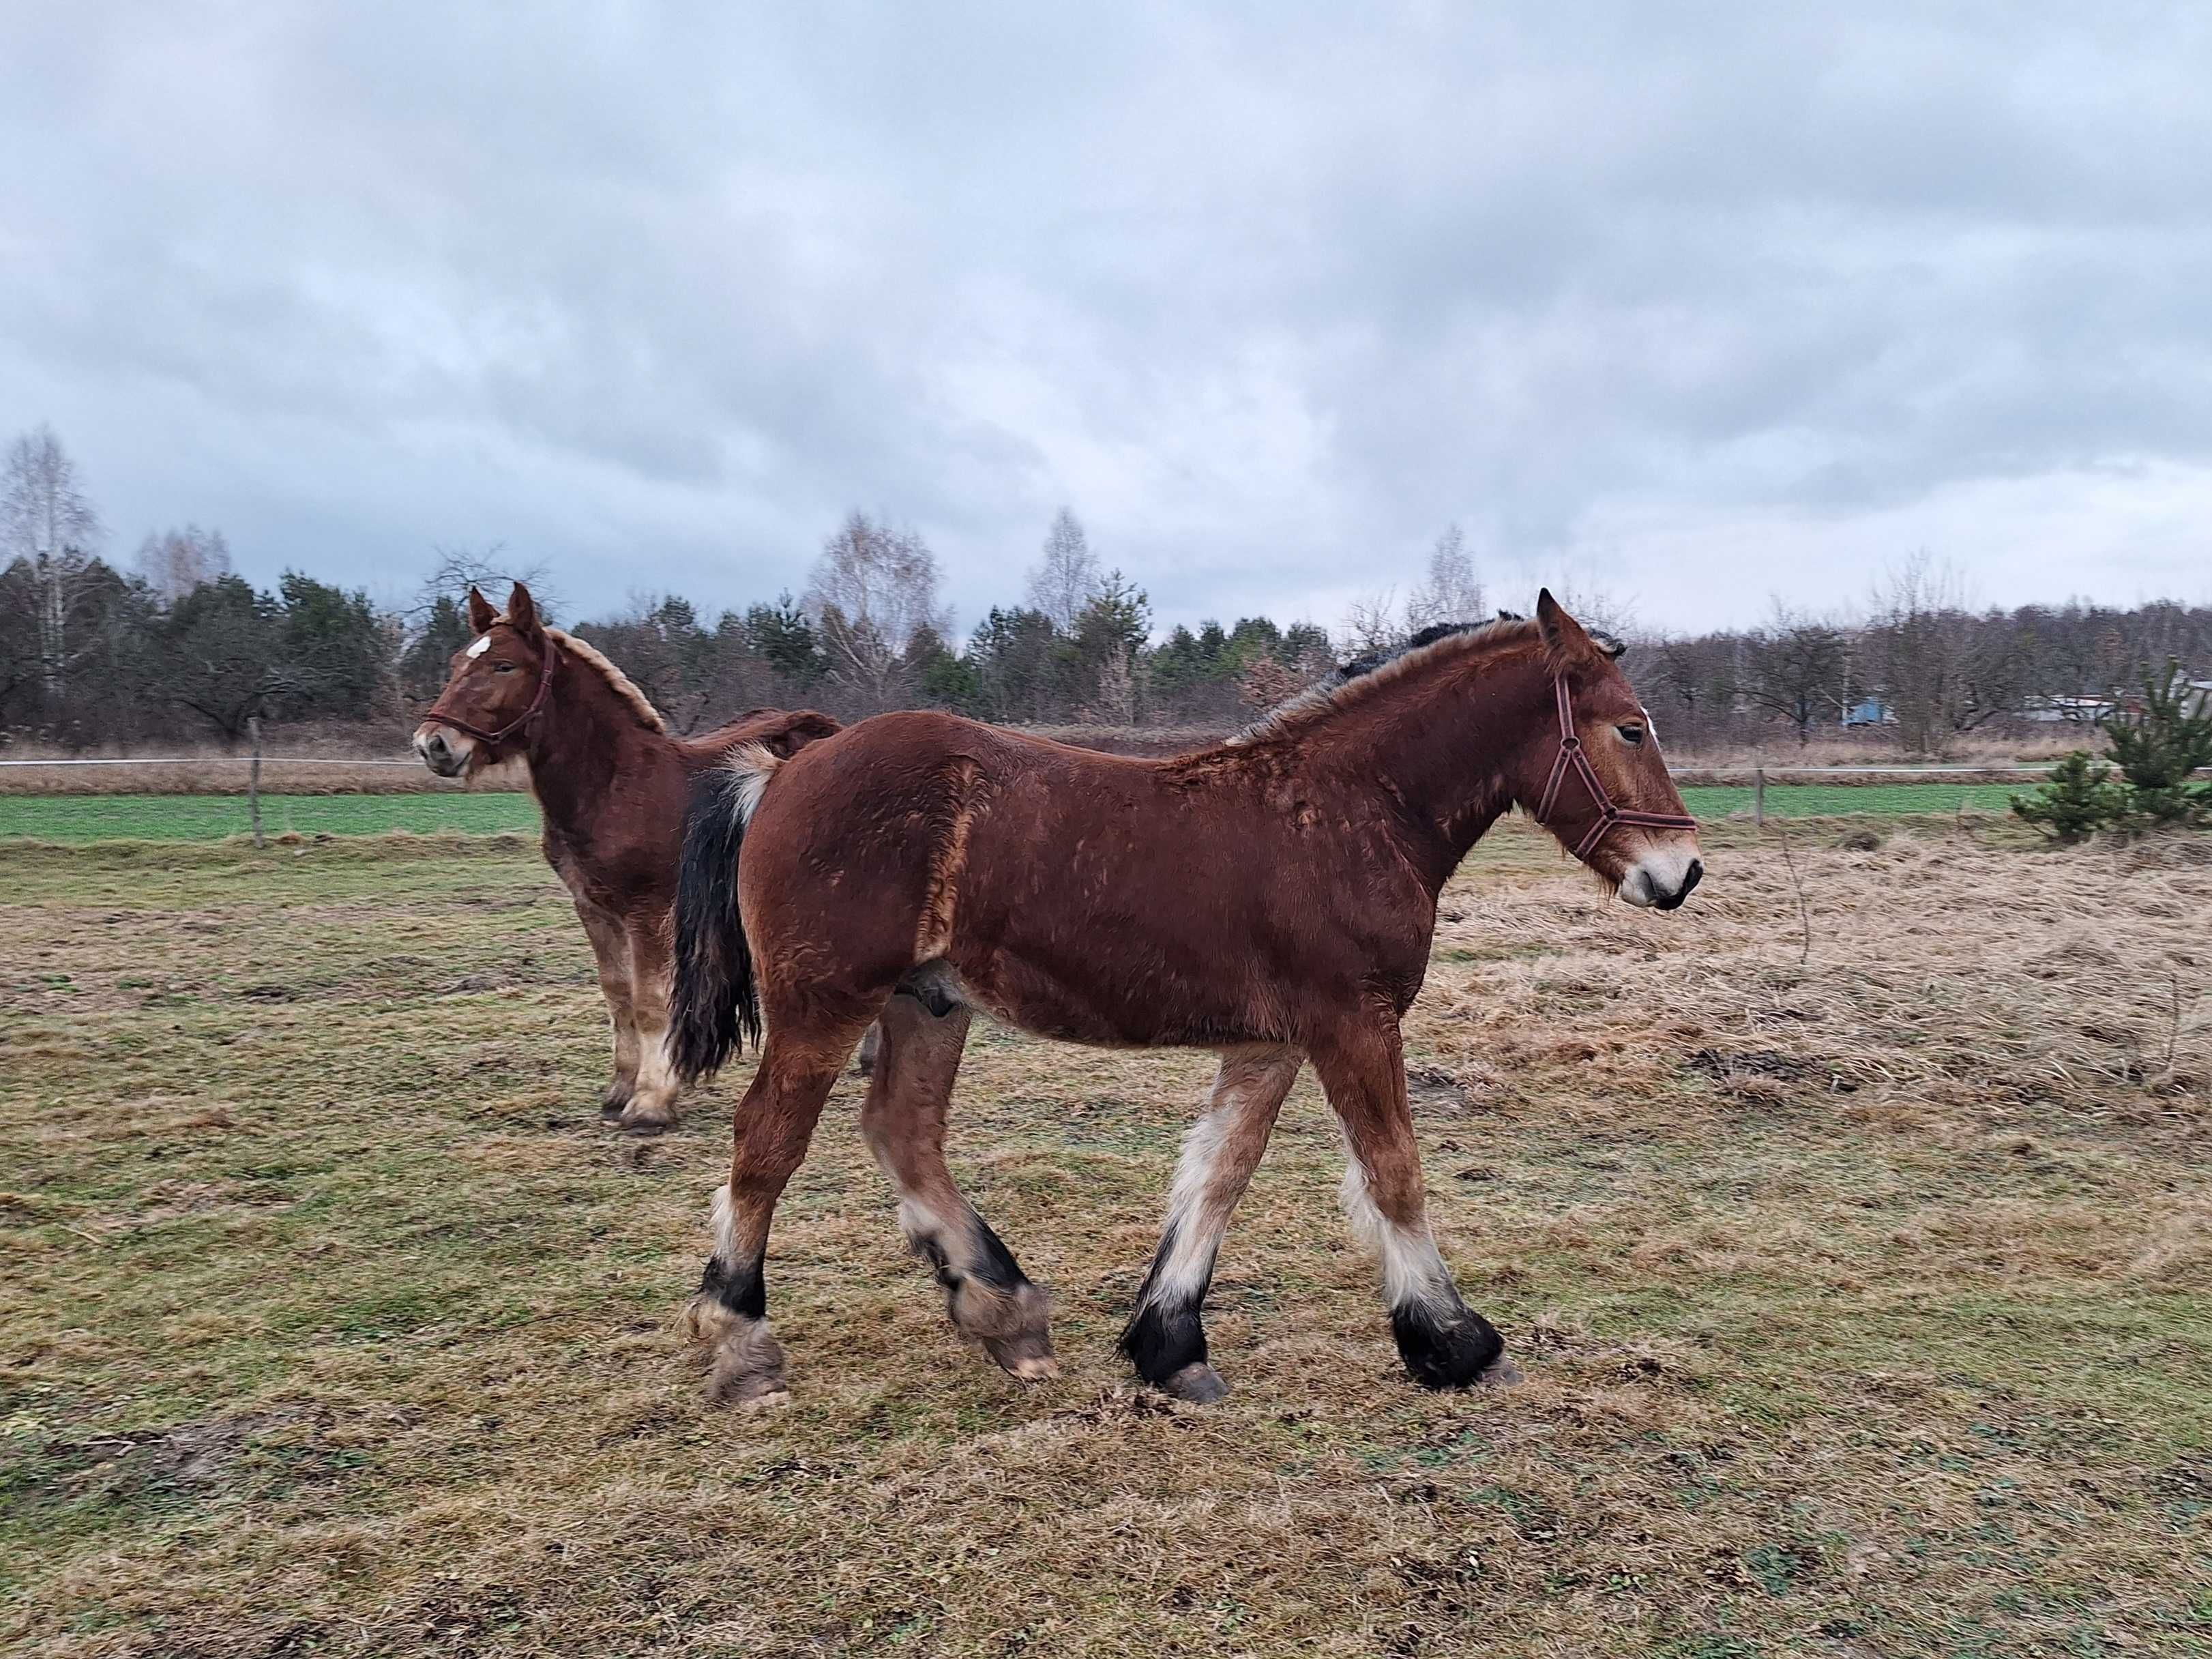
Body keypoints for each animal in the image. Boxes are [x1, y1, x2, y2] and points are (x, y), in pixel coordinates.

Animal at [409, 579, 836, 1141]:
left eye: (504, 666)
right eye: (458, 661)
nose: (433, 744)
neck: (617, 786)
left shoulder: (647, 913)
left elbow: (650, 1004)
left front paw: (651, 1102)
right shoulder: (593, 908)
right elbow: (617, 996)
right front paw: (619, 1091)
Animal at [663, 593, 1698, 1407]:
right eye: (1629, 727)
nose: (1680, 872)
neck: (1346, 810)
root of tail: (784, 767)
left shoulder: (1272, 1041)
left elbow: (1216, 1176)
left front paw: (1169, 1348)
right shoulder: (1353, 1023)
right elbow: (1392, 1172)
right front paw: (1457, 1343)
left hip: (927, 1004)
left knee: (902, 1131)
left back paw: (1006, 1312)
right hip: (825, 1003)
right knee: (767, 1142)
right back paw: (743, 1345)